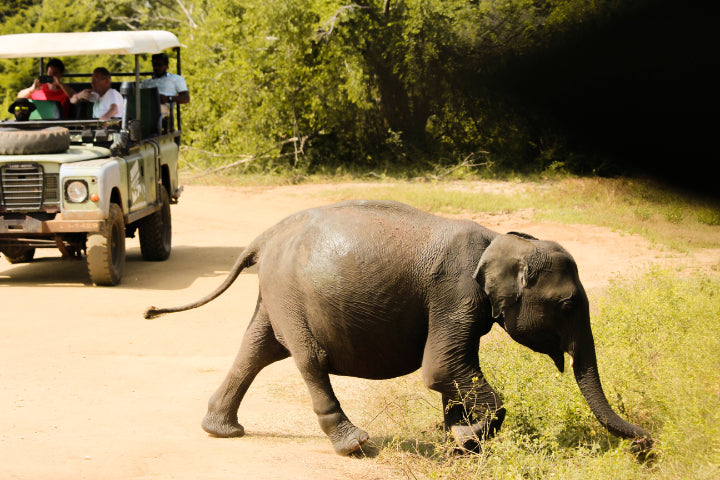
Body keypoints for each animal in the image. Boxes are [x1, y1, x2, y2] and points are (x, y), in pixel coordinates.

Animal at [145, 199, 652, 455]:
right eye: (567, 304)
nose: (648, 444)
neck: (501, 240)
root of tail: (262, 238)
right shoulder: (455, 292)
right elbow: (441, 368)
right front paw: (468, 443)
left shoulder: (461, 305)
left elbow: (452, 371)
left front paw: (461, 441)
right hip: (290, 292)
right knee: (308, 357)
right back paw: (353, 444)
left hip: (278, 291)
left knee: (258, 348)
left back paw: (221, 431)